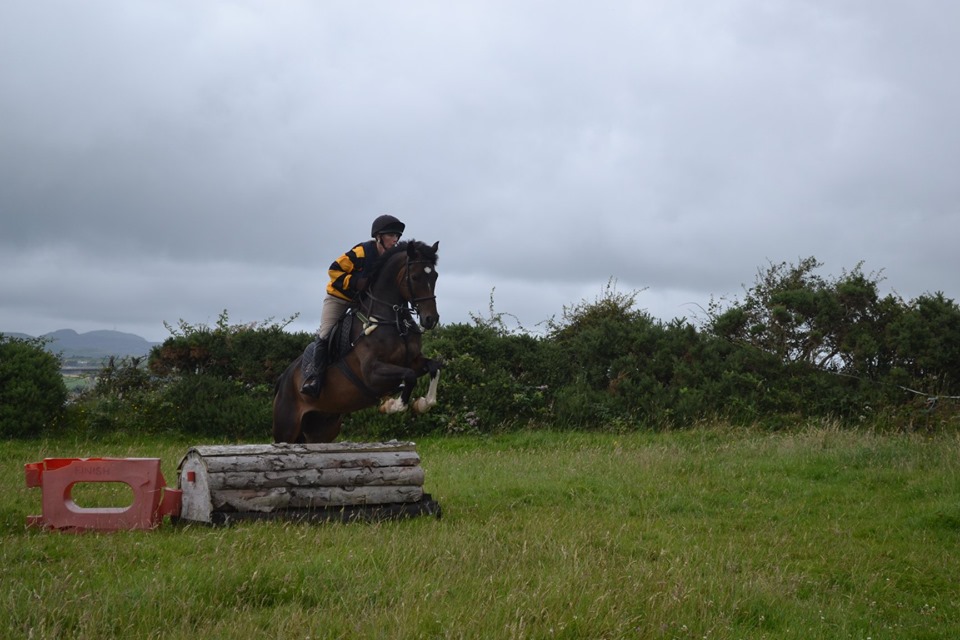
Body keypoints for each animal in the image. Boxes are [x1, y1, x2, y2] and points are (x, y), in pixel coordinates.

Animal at [273, 239, 442, 443]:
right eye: (415, 277)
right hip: (286, 429)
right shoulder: (371, 372)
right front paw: (391, 406)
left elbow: (434, 367)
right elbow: (408, 376)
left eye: (435, 276)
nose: (430, 319)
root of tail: (283, 379)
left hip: (323, 426)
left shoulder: (414, 361)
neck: (392, 320)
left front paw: (422, 404)